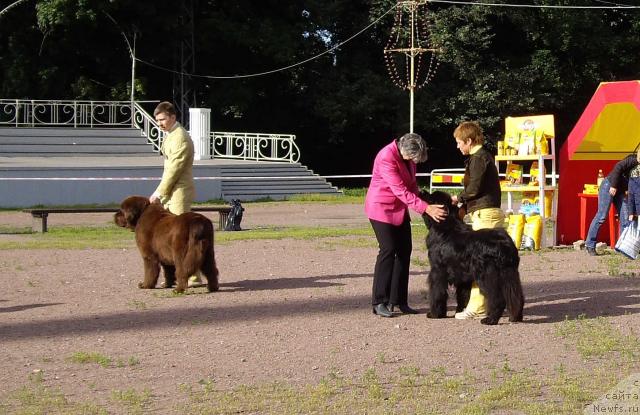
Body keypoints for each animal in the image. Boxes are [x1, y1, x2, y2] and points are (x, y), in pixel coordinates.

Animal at [422, 191, 524, 324]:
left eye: (430, 198)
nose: (422, 192)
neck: (444, 226)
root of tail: (504, 243)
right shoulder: (463, 277)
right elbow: (463, 296)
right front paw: (460, 311)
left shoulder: (437, 271)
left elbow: (437, 292)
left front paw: (434, 314)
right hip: (509, 274)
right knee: (516, 295)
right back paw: (515, 317)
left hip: (486, 275)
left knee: (497, 298)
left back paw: (490, 319)